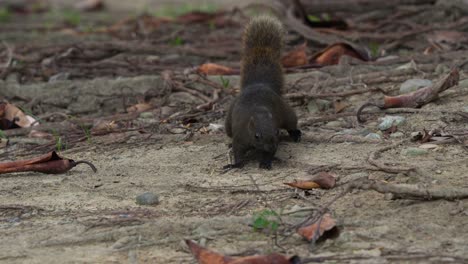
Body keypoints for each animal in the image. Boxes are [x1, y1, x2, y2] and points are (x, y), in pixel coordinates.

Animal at [225, 15, 302, 170]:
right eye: (257, 136)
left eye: (277, 132)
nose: (272, 147)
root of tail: (259, 84)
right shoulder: (240, 137)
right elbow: (238, 152)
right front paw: (236, 164)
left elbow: (267, 155)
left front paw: (266, 162)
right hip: (228, 124)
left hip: (286, 112)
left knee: (291, 123)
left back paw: (295, 134)